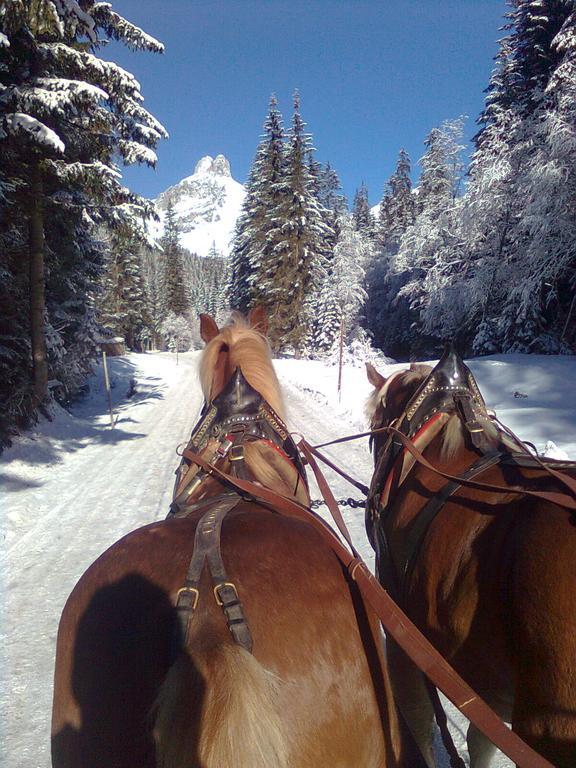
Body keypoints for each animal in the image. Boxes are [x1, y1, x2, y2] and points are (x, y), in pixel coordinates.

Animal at [366, 348, 576, 768]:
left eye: (376, 430)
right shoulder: (487, 678)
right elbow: (482, 742)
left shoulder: (400, 630)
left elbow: (416, 715)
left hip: (550, 724)